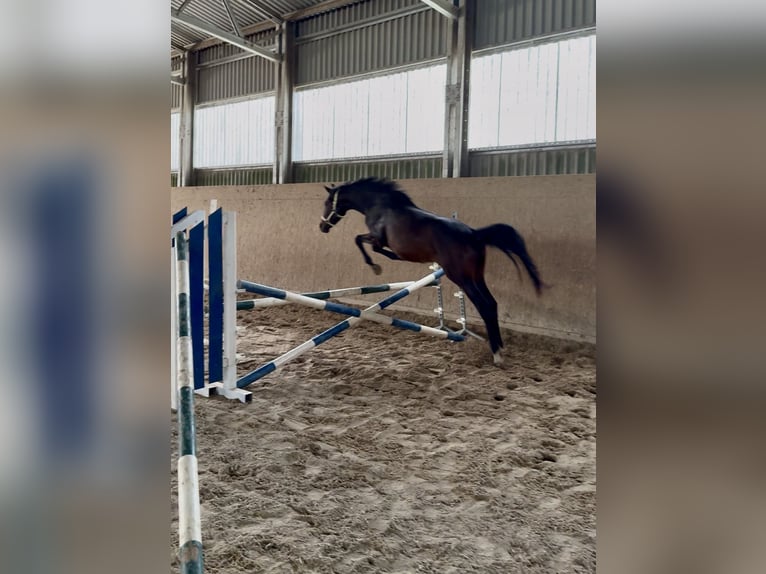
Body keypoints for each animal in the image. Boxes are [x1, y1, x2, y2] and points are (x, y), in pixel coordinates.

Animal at [318, 177, 545, 365]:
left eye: (327, 202)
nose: (322, 227)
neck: (380, 205)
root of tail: (474, 234)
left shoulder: (377, 238)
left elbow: (362, 241)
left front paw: (376, 266)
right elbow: (366, 243)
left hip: (460, 277)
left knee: (485, 306)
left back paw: (496, 353)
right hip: (476, 276)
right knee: (492, 303)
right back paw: (499, 347)